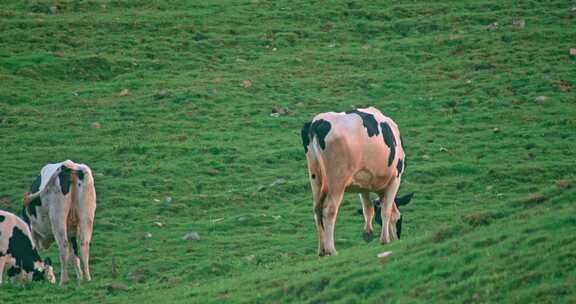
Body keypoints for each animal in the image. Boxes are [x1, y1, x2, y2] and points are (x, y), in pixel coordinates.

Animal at [302, 107, 414, 256]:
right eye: (400, 221)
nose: (397, 239)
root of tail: (317, 121)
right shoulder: (395, 179)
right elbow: (387, 211)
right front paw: (384, 240)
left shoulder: (364, 186)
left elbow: (368, 209)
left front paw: (368, 233)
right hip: (337, 179)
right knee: (329, 210)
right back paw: (331, 250)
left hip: (315, 176)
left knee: (316, 210)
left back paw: (322, 250)